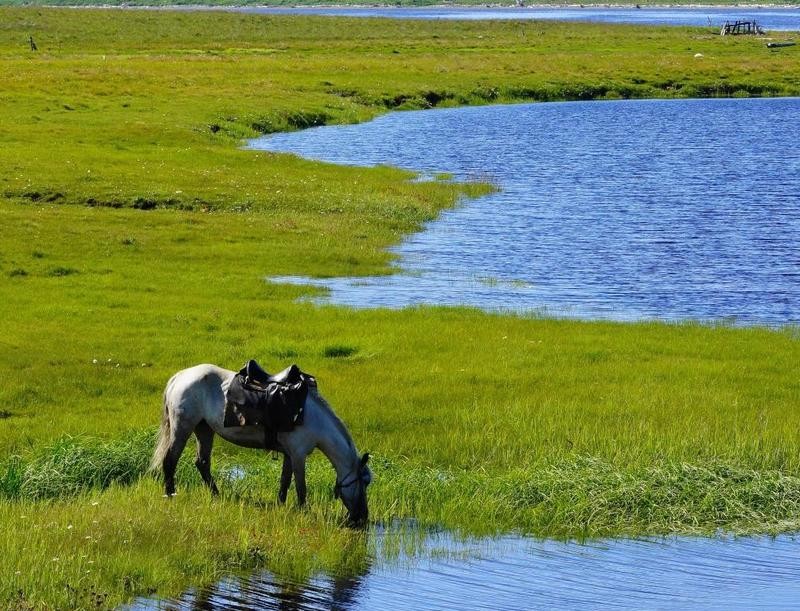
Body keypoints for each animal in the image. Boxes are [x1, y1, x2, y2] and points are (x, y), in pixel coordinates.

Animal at [150, 364, 372, 524]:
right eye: (365, 482)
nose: (362, 517)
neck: (314, 419)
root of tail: (180, 376)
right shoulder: (298, 455)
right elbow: (301, 487)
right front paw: (304, 512)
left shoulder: (289, 455)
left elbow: (285, 482)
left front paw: (281, 506)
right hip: (183, 427)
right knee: (170, 460)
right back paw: (171, 495)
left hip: (204, 429)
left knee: (202, 463)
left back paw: (216, 495)